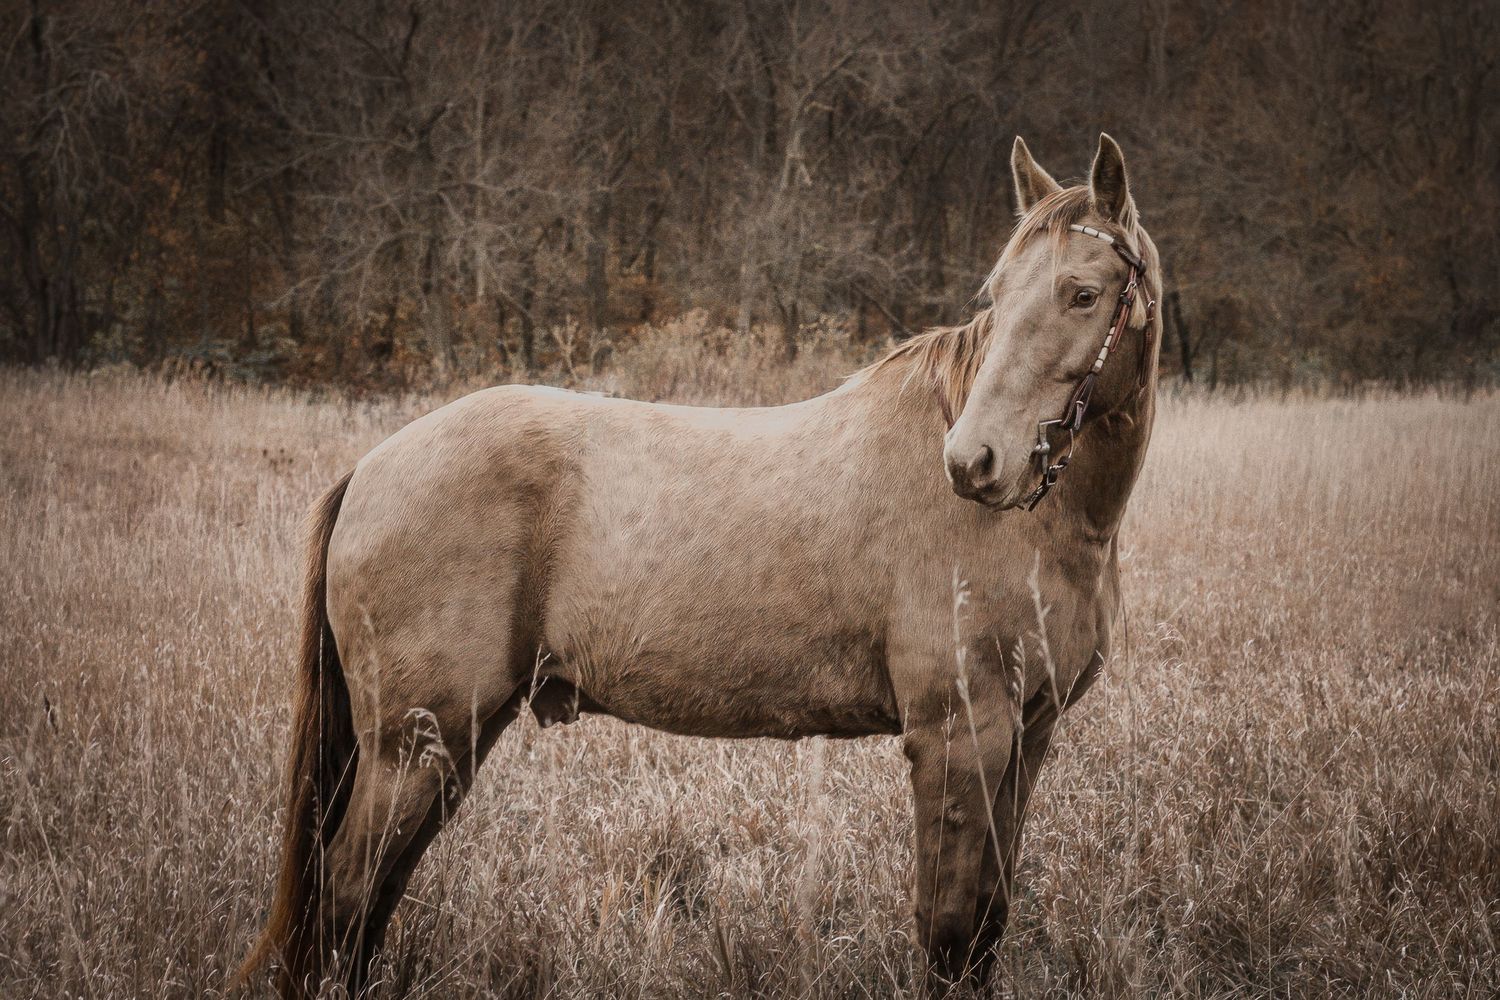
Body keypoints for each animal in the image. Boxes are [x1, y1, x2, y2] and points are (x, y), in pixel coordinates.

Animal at [241, 133, 1164, 996]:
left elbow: (986, 927)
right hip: (412, 748)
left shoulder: (1027, 736)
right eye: (997, 295)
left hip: (448, 745)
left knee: (367, 910)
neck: (1039, 529)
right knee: (344, 903)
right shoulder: (958, 737)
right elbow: (947, 933)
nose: (975, 463)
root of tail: (371, 467)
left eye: (1083, 293)